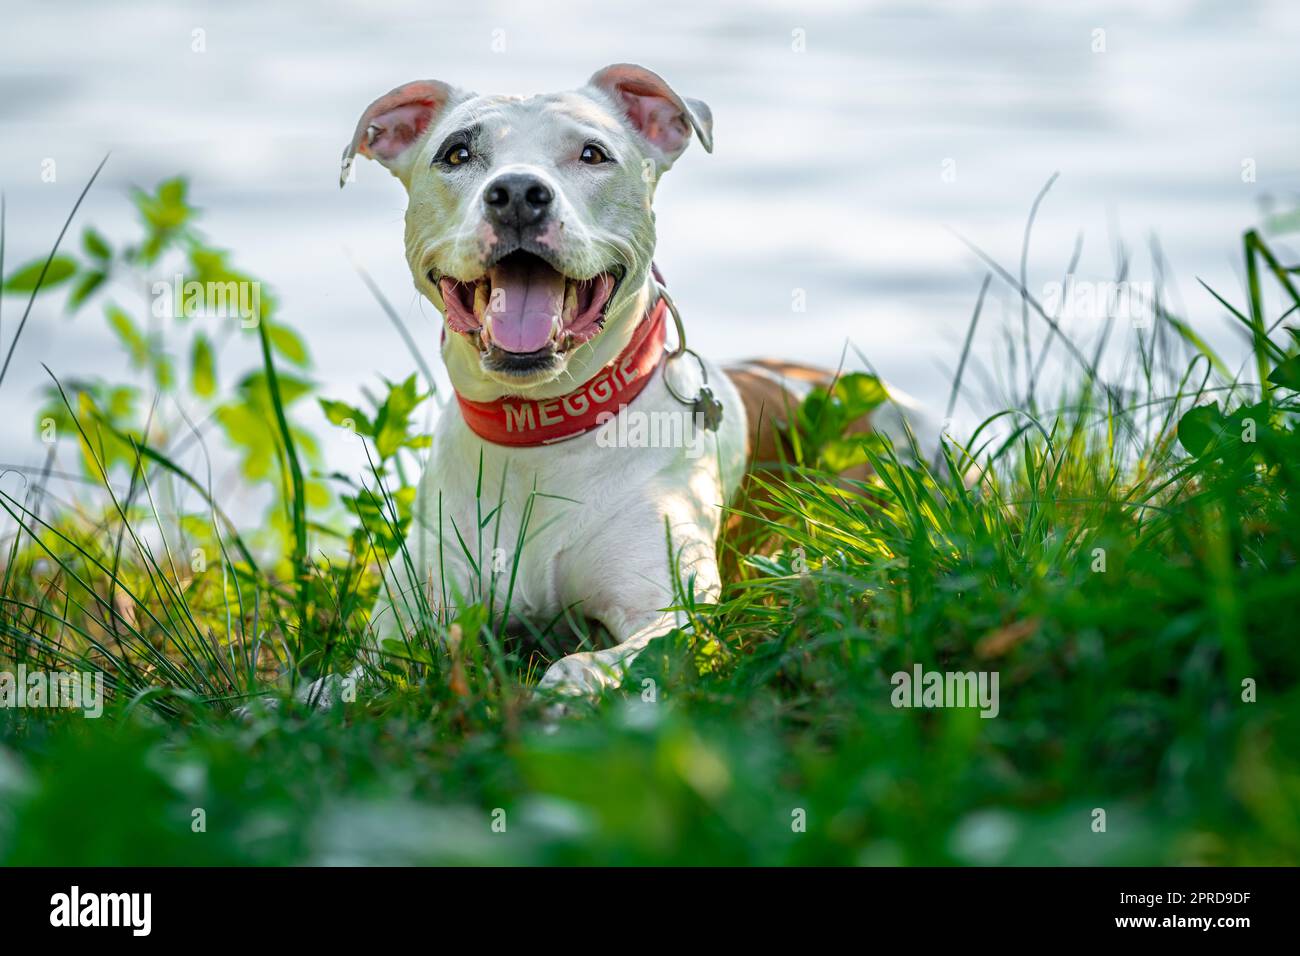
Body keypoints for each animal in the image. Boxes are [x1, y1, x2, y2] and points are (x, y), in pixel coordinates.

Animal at [335, 63, 925, 697]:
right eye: (457, 153)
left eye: (593, 154)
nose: (517, 193)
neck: (539, 433)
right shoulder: (407, 616)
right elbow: (348, 681)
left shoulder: (669, 612)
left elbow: (591, 661)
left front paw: (560, 695)